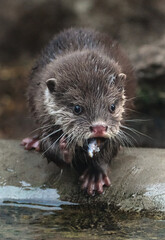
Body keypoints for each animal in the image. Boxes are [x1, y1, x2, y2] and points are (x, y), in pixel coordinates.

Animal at [21, 27, 136, 195]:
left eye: (112, 107)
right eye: (77, 108)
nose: (99, 127)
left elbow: (112, 146)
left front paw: (95, 176)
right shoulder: (44, 113)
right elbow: (47, 145)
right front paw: (63, 149)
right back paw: (33, 142)